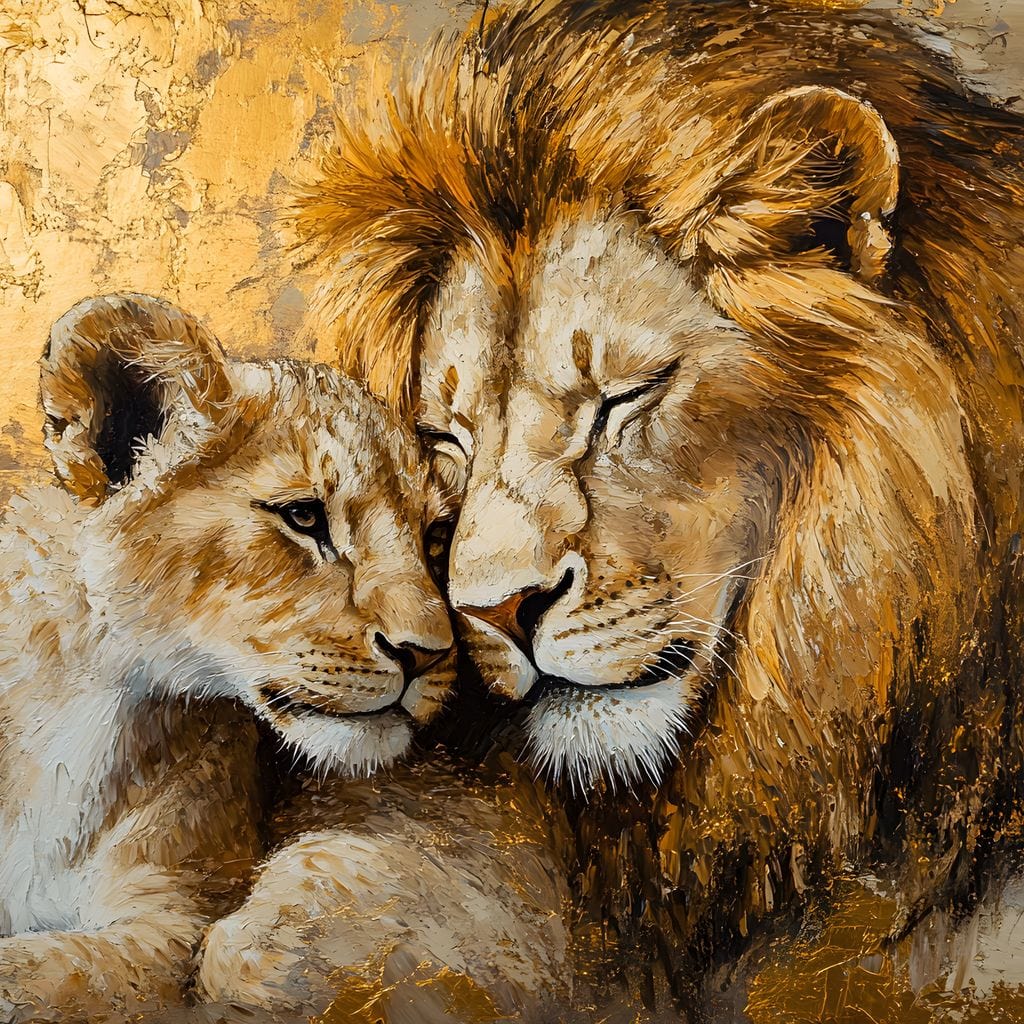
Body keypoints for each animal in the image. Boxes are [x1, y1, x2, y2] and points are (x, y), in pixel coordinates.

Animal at [0, 293, 569, 1023]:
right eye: (304, 517)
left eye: (437, 536)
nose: (425, 653)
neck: (81, 689)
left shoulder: (173, 924)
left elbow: (46, 974)